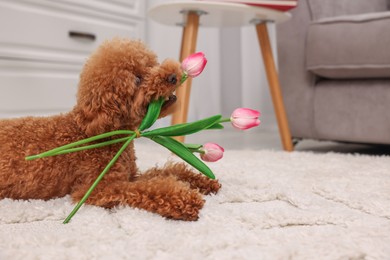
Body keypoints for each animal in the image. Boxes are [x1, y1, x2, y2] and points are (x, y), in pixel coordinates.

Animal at [0, 38, 219, 221]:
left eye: (151, 64)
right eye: (137, 79)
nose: (173, 75)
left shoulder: (130, 174)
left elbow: (164, 172)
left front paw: (201, 181)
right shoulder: (98, 188)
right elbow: (148, 188)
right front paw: (186, 199)